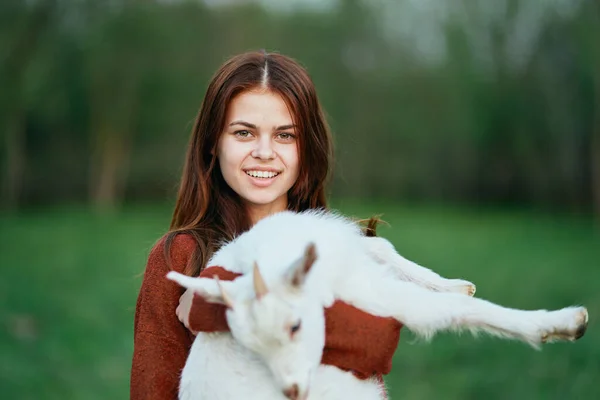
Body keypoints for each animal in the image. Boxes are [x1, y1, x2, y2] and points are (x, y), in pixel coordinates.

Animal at [166, 209, 588, 400]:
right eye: (250, 348)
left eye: (295, 326)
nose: (293, 391)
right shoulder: (370, 296)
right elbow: (443, 312)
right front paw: (564, 323)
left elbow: (380, 246)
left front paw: (454, 285)